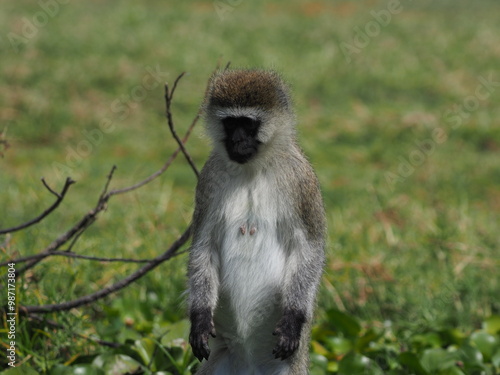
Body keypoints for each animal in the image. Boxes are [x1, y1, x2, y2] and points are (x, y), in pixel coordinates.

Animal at [187, 69, 324, 374]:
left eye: (248, 124)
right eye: (230, 123)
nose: (237, 141)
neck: (252, 168)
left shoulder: (300, 179)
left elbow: (310, 247)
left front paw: (293, 320)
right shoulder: (209, 178)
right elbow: (203, 245)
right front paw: (199, 318)